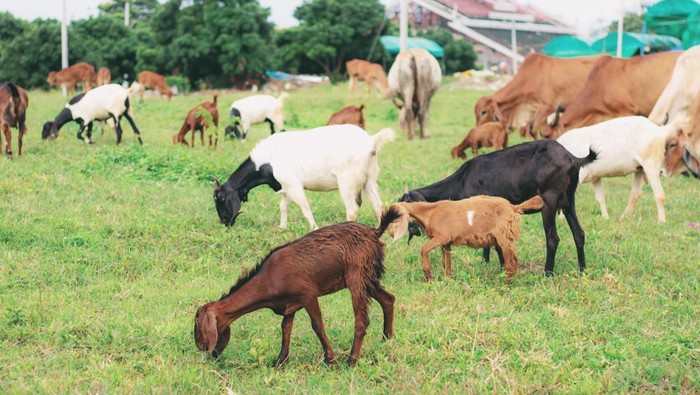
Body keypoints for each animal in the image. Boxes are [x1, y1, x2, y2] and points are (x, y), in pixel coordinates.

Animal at [193, 209, 400, 366]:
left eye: (198, 324)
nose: (201, 347)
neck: (268, 278)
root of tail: (375, 232)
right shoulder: (289, 305)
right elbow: (285, 329)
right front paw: (280, 361)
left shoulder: (308, 295)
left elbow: (317, 326)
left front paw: (330, 360)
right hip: (369, 277)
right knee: (388, 298)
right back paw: (387, 339)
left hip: (357, 276)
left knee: (362, 319)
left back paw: (351, 361)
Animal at [211, 125, 396, 230]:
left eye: (221, 199)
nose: (225, 222)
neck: (265, 161)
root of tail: (370, 141)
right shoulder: (285, 186)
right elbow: (283, 206)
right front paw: (282, 228)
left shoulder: (293, 185)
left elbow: (305, 208)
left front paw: (314, 228)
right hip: (369, 179)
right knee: (379, 206)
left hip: (347, 181)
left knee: (352, 209)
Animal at [400, 141, 596, 276]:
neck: (462, 180)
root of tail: (571, 158)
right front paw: (487, 262)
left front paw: (501, 267)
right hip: (569, 201)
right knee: (579, 233)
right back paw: (583, 270)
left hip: (548, 201)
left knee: (553, 239)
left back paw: (548, 273)